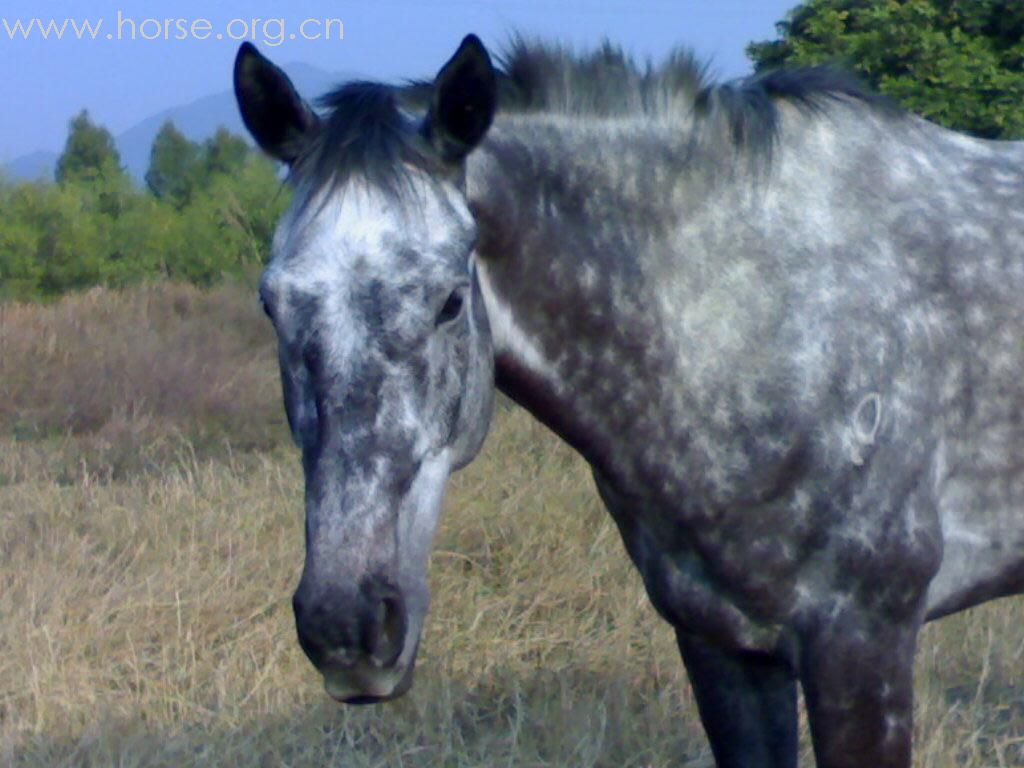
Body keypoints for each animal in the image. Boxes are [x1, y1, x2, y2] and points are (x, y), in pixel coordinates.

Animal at [232, 34, 1024, 768]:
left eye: (450, 301)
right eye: (272, 304)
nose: (348, 628)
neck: (757, 316)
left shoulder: (863, 647)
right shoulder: (723, 645)